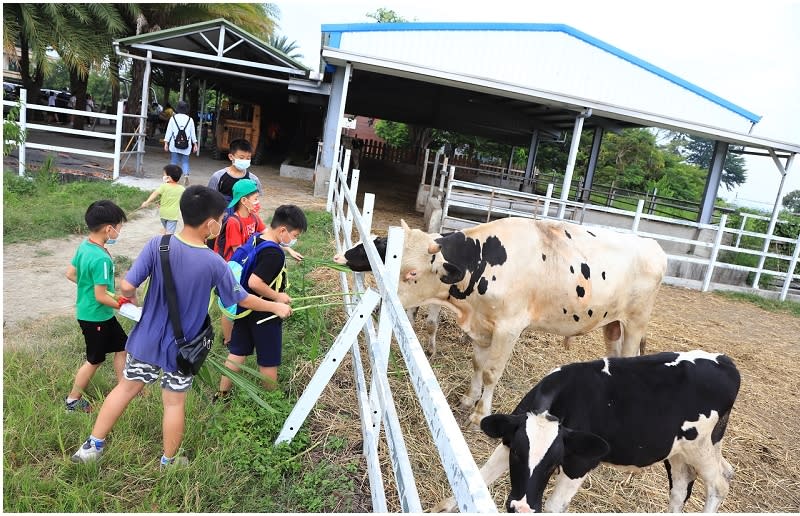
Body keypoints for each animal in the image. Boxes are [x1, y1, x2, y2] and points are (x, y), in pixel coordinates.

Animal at [334, 218, 664, 428]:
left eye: (412, 272)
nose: (383, 299)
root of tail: (653, 246)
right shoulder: (482, 327)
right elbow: (478, 365)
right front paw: (469, 399)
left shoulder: (509, 327)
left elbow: (492, 372)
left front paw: (480, 414)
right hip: (613, 324)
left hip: (635, 323)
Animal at [434, 348, 740, 512]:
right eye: (518, 456)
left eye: (553, 464)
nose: (521, 507)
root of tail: (724, 360)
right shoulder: (510, 438)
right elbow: (480, 476)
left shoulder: (580, 462)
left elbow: (554, 506)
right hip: (679, 451)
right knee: (681, 489)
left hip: (699, 447)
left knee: (719, 485)